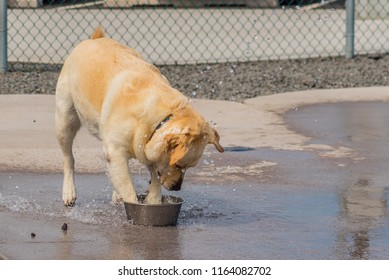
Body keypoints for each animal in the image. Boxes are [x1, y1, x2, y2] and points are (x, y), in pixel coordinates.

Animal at [56, 27, 223, 206]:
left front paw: (153, 198)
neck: (160, 117)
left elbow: (153, 176)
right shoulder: (116, 152)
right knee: (69, 159)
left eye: (189, 167)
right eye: (178, 165)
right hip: (65, 121)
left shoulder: (146, 148)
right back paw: (69, 192)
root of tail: (94, 39)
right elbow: (130, 191)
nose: (177, 187)